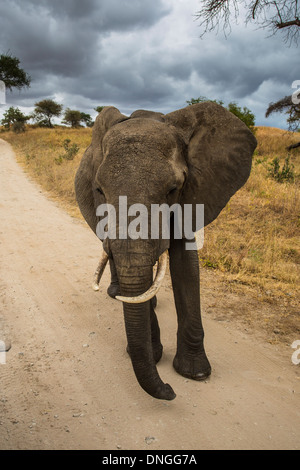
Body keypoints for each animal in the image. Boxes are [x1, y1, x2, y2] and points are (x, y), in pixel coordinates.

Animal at [74, 102, 255, 400]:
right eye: (99, 190)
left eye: (172, 190)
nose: (170, 391)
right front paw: (155, 355)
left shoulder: (193, 193)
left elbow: (186, 265)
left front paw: (195, 373)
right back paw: (117, 293)